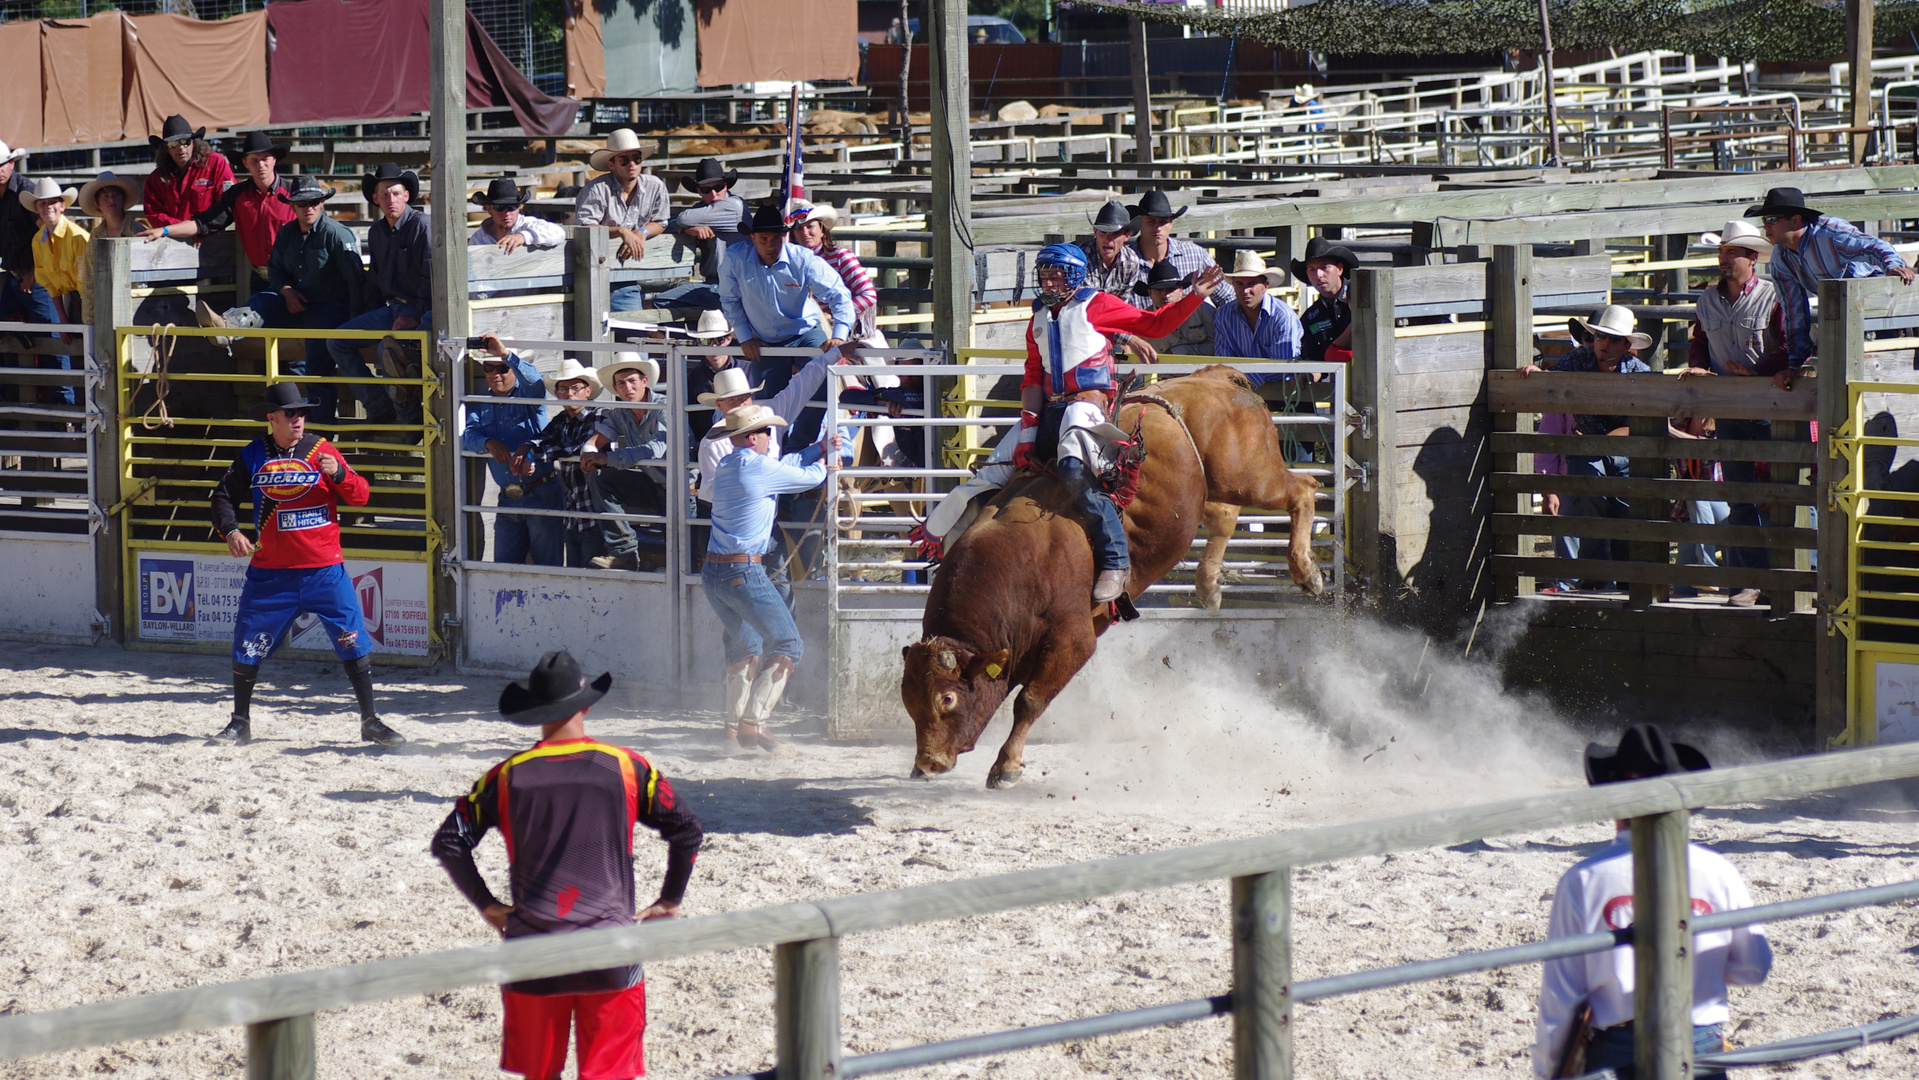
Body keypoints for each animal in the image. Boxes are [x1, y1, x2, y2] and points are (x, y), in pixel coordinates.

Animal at [898, 368, 1320, 790]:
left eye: (947, 699)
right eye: (908, 700)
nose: (928, 763)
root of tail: (1215, 377)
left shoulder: (1074, 639)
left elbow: (1029, 701)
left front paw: (1006, 766)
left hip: (1252, 477)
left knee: (1303, 489)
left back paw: (1306, 571)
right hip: (1216, 488)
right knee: (1224, 517)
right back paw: (1209, 585)